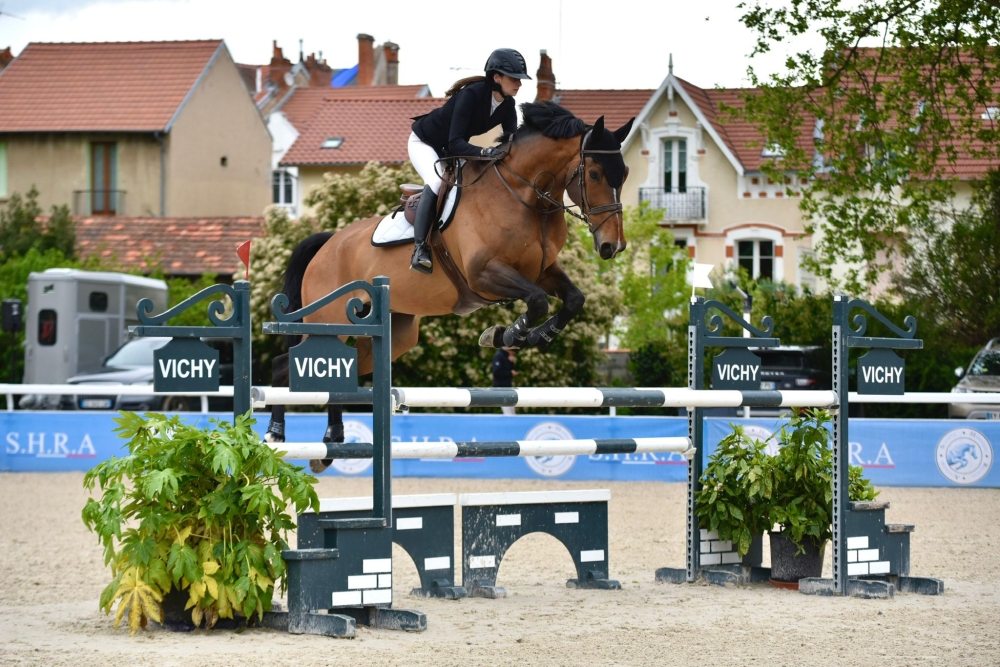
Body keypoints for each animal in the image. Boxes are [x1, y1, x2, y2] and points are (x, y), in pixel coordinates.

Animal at [266, 102, 632, 472]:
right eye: (595, 174)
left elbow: (573, 299)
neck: (526, 197)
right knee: (287, 366)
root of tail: (327, 244)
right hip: (329, 323)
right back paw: (278, 435)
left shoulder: (542, 271)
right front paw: (507, 335)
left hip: (394, 334)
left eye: (625, 174)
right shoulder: (483, 274)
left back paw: (331, 443)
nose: (613, 246)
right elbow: (538, 301)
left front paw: (533, 336)